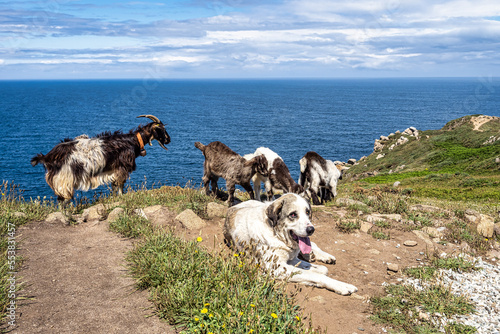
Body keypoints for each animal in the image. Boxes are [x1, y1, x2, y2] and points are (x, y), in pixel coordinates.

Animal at [32, 115, 172, 204]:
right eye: (161, 129)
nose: (168, 139)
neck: (132, 141)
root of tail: (47, 157)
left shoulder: (113, 171)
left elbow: (115, 186)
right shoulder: (122, 168)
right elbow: (120, 185)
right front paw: (121, 198)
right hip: (64, 178)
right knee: (63, 199)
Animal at [224, 193, 360, 294]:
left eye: (307, 212)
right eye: (293, 214)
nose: (311, 230)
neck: (276, 234)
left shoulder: (291, 259)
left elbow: (320, 269)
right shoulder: (275, 267)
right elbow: (315, 274)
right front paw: (341, 285)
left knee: (313, 245)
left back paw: (322, 256)